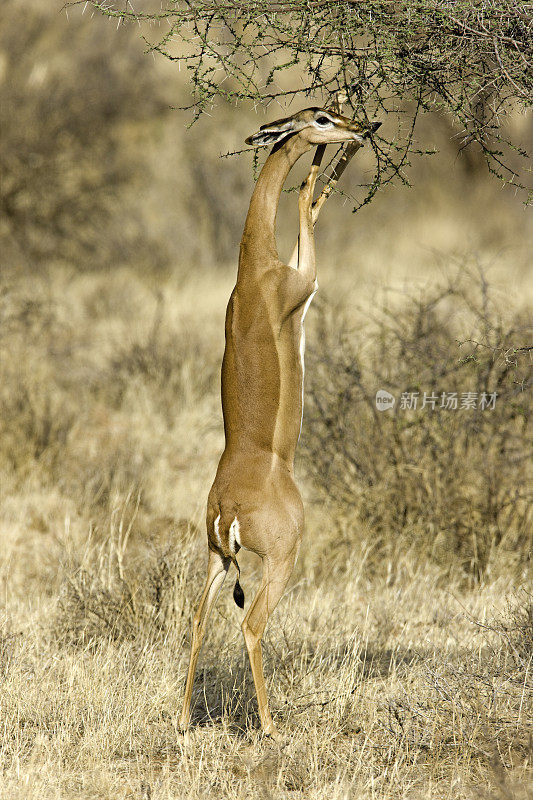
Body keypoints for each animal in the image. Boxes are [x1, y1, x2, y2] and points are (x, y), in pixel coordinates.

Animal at [179, 104, 378, 736]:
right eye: (323, 117)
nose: (359, 125)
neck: (254, 269)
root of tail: (228, 509)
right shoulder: (306, 279)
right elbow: (305, 203)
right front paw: (324, 162)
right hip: (281, 561)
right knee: (251, 625)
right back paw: (269, 724)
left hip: (217, 560)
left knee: (196, 621)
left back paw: (183, 719)